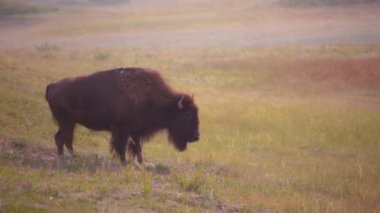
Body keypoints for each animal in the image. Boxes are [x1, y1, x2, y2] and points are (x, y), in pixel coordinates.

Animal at [46, 67, 200, 164]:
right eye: (188, 115)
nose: (196, 137)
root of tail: (53, 85)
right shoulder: (122, 130)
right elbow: (122, 146)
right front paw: (124, 161)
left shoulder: (137, 132)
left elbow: (137, 148)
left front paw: (141, 163)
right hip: (67, 121)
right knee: (65, 138)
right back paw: (70, 157)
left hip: (67, 123)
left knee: (60, 138)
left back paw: (66, 156)